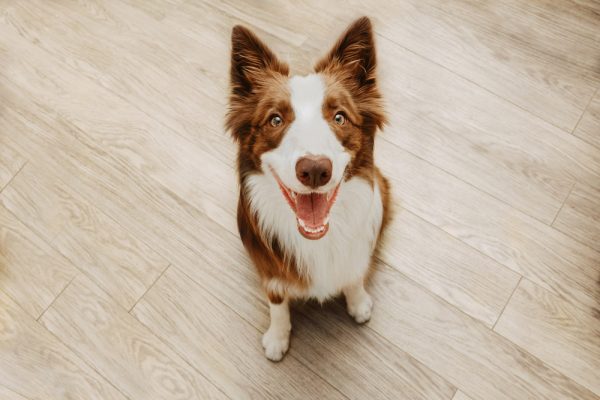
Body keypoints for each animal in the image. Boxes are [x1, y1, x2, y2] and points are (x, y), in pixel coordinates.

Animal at [225, 15, 390, 360]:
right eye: (275, 120)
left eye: (339, 117)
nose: (314, 170)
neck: (317, 240)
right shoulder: (270, 273)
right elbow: (277, 302)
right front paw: (277, 337)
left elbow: (354, 276)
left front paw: (359, 304)